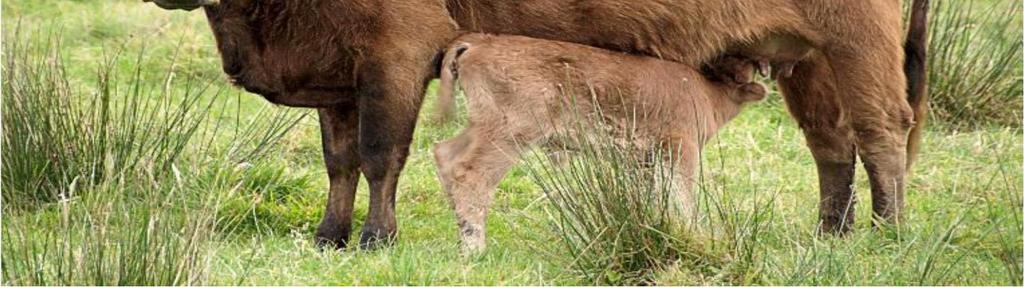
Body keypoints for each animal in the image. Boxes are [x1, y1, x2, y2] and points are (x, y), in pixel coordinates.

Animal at [146, 0, 929, 249]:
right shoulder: (344, 75)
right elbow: (339, 160)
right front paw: (330, 236)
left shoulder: (395, 57)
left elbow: (378, 155)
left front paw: (374, 239)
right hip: (808, 55)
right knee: (832, 142)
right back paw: (831, 231)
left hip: (857, 41)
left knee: (883, 131)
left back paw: (888, 232)